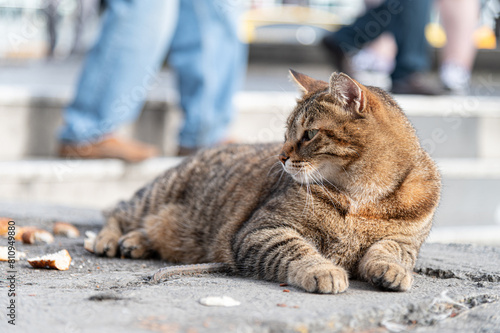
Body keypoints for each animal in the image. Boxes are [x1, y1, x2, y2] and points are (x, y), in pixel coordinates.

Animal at [94, 70, 442, 294]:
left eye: (308, 134)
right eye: (287, 133)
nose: (280, 156)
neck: (363, 196)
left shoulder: (405, 242)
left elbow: (387, 252)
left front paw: (392, 271)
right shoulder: (263, 230)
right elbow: (299, 251)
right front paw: (323, 270)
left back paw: (136, 241)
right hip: (156, 194)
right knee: (118, 210)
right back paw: (109, 240)